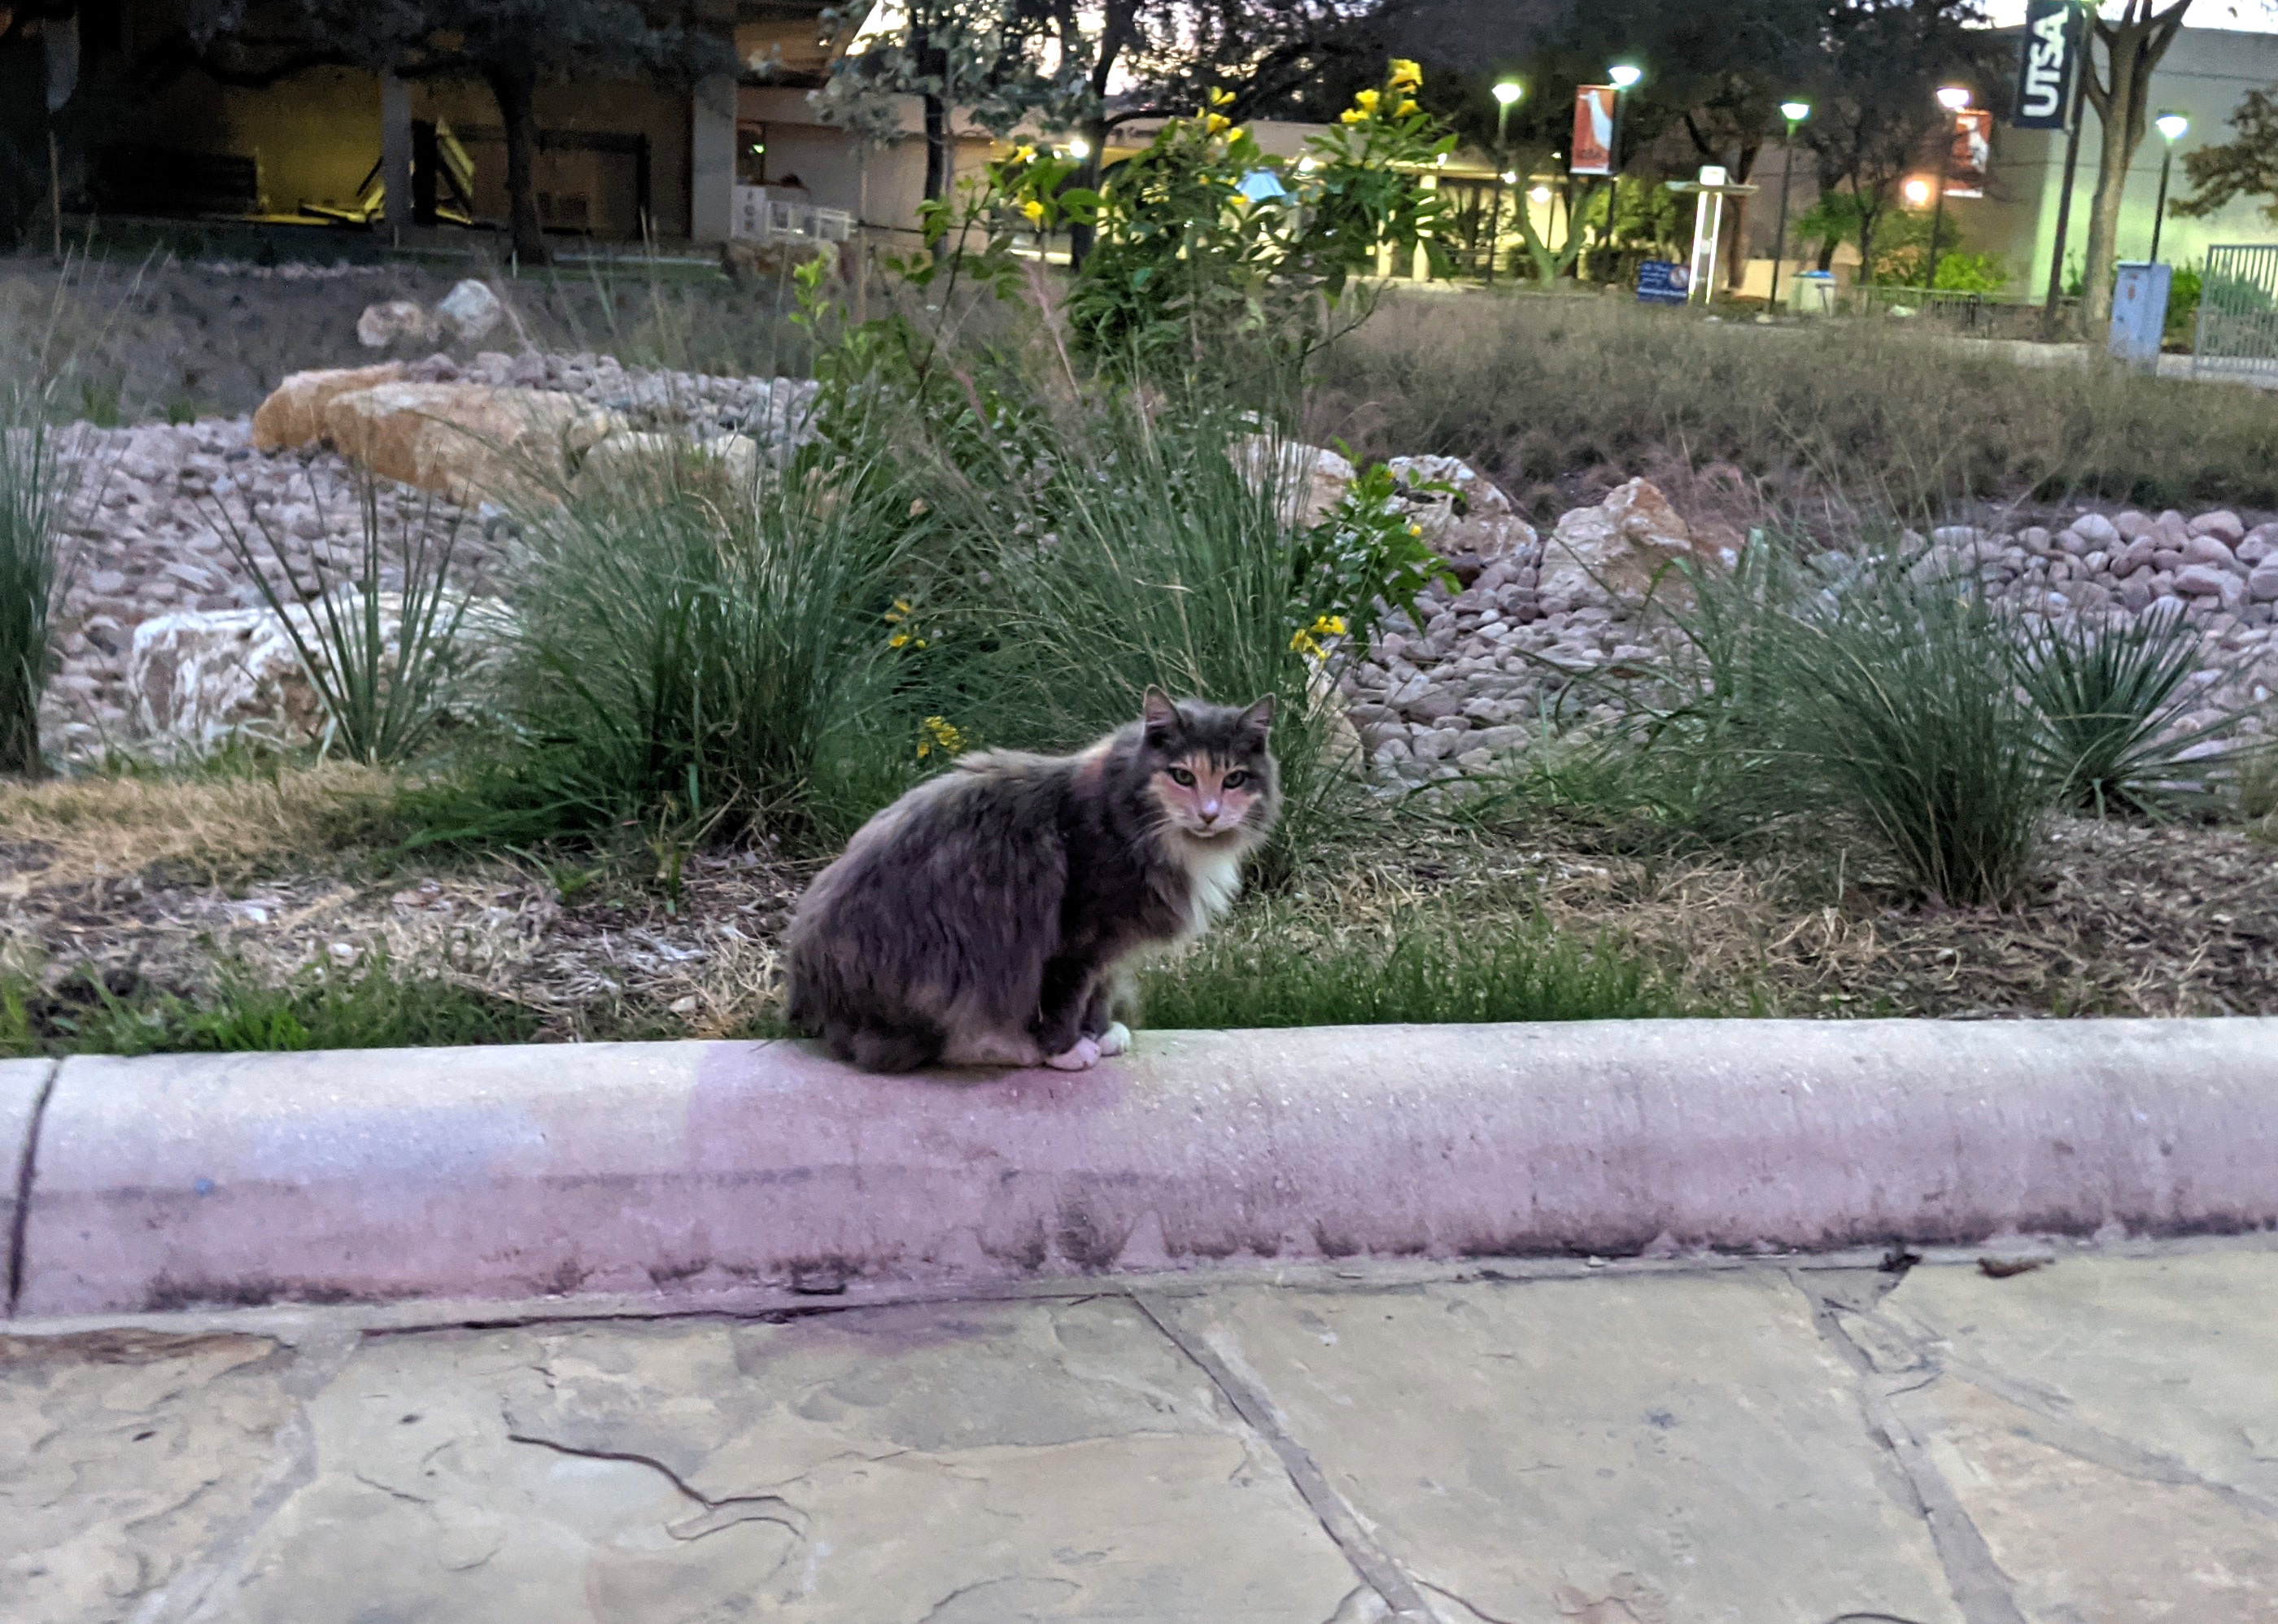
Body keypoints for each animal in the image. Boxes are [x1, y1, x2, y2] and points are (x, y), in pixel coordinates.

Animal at [785, 688, 1280, 1073]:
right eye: (1182, 775)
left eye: (1234, 779)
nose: (1209, 814)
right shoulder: (1075, 939)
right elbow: (1064, 1000)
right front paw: (1067, 1050)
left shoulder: (1109, 947)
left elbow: (1099, 992)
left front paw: (1100, 1034)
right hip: (946, 968)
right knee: (916, 1048)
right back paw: (1016, 1048)